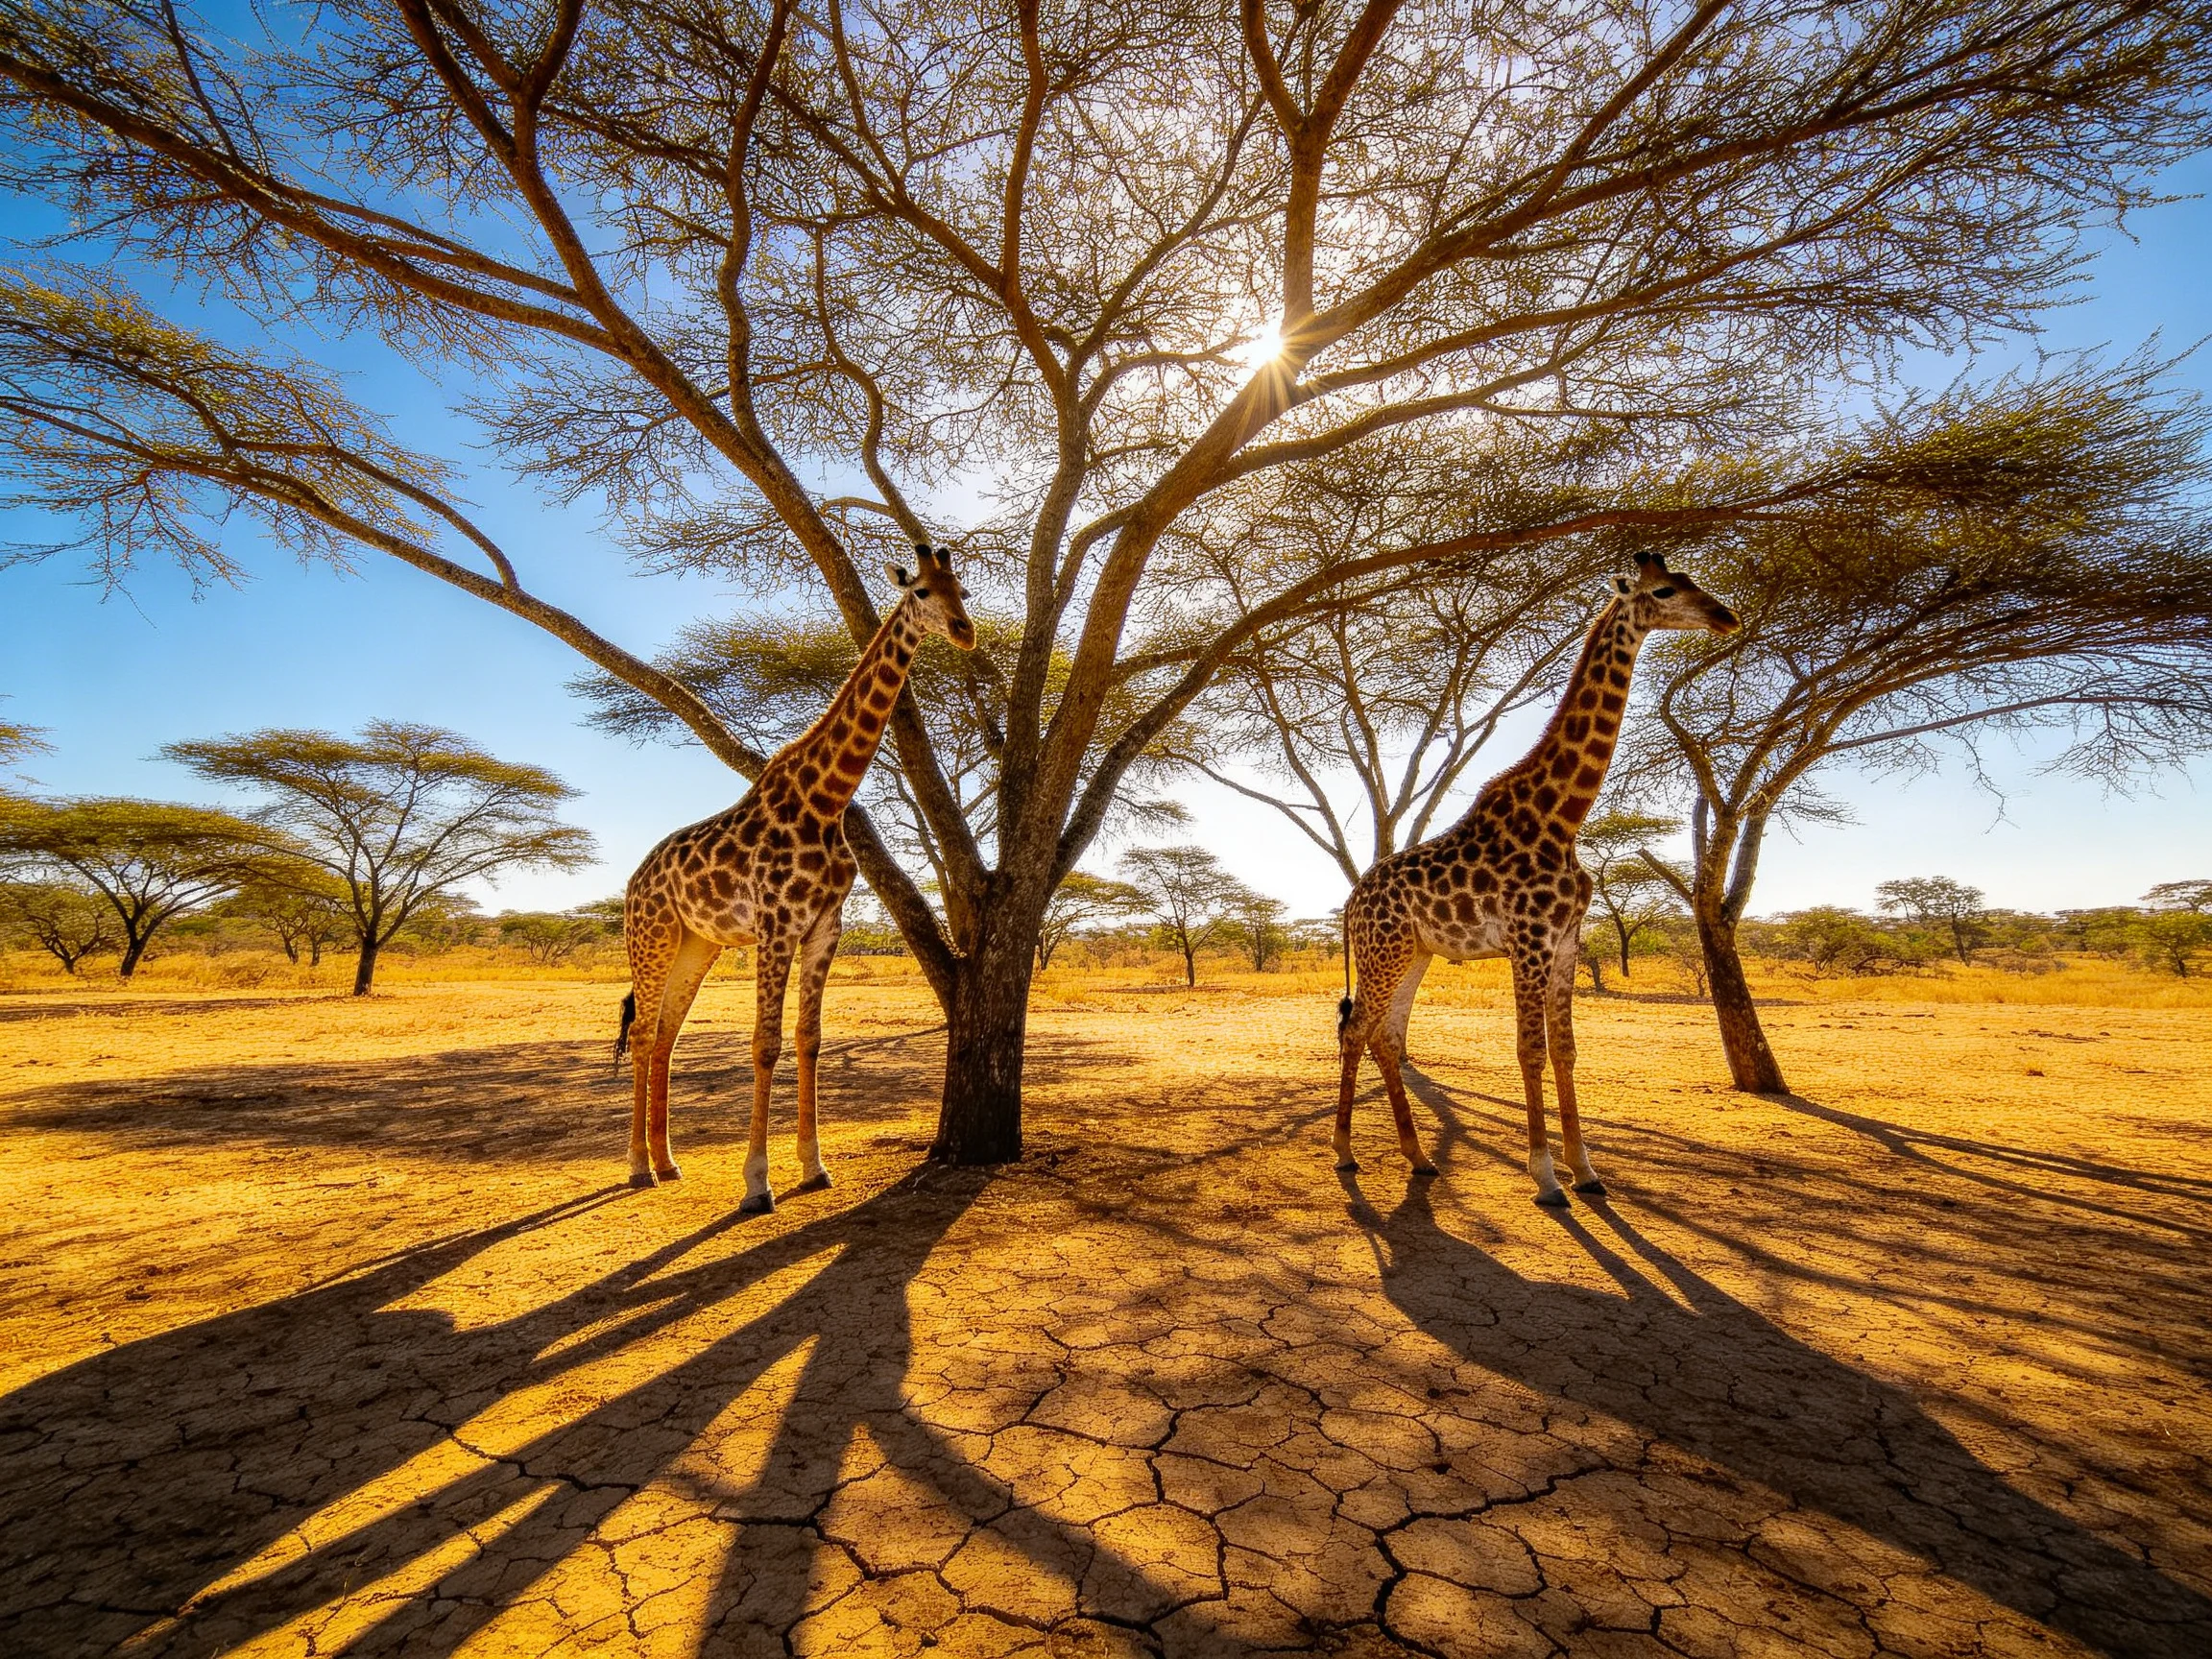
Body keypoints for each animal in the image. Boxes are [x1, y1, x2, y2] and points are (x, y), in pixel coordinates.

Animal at [615, 544, 975, 1213]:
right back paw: (638, 1167)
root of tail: (633, 881)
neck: (827, 799)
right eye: (921, 592)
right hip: (651, 937)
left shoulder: (824, 926)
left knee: (667, 1035)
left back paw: (667, 1160)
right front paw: (757, 1184)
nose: (965, 631)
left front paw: (813, 1166)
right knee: (646, 1032)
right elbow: (766, 1044)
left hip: (696, 943)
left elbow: (809, 1038)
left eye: (961, 590)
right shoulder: (777, 924)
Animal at [1334, 551, 1737, 1205]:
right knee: (1356, 1031)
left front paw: (1586, 1171)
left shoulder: (1568, 939)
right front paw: (1546, 1176)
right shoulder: (1529, 940)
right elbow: (1530, 1052)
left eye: (1690, 580)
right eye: (1664, 591)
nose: (1726, 616)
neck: (1563, 817)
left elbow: (1567, 1051)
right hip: (1382, 952)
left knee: (1385, 1036)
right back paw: (1344, 1153)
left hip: (1414, 952)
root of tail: (1350, 902)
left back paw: (1419, 1158)